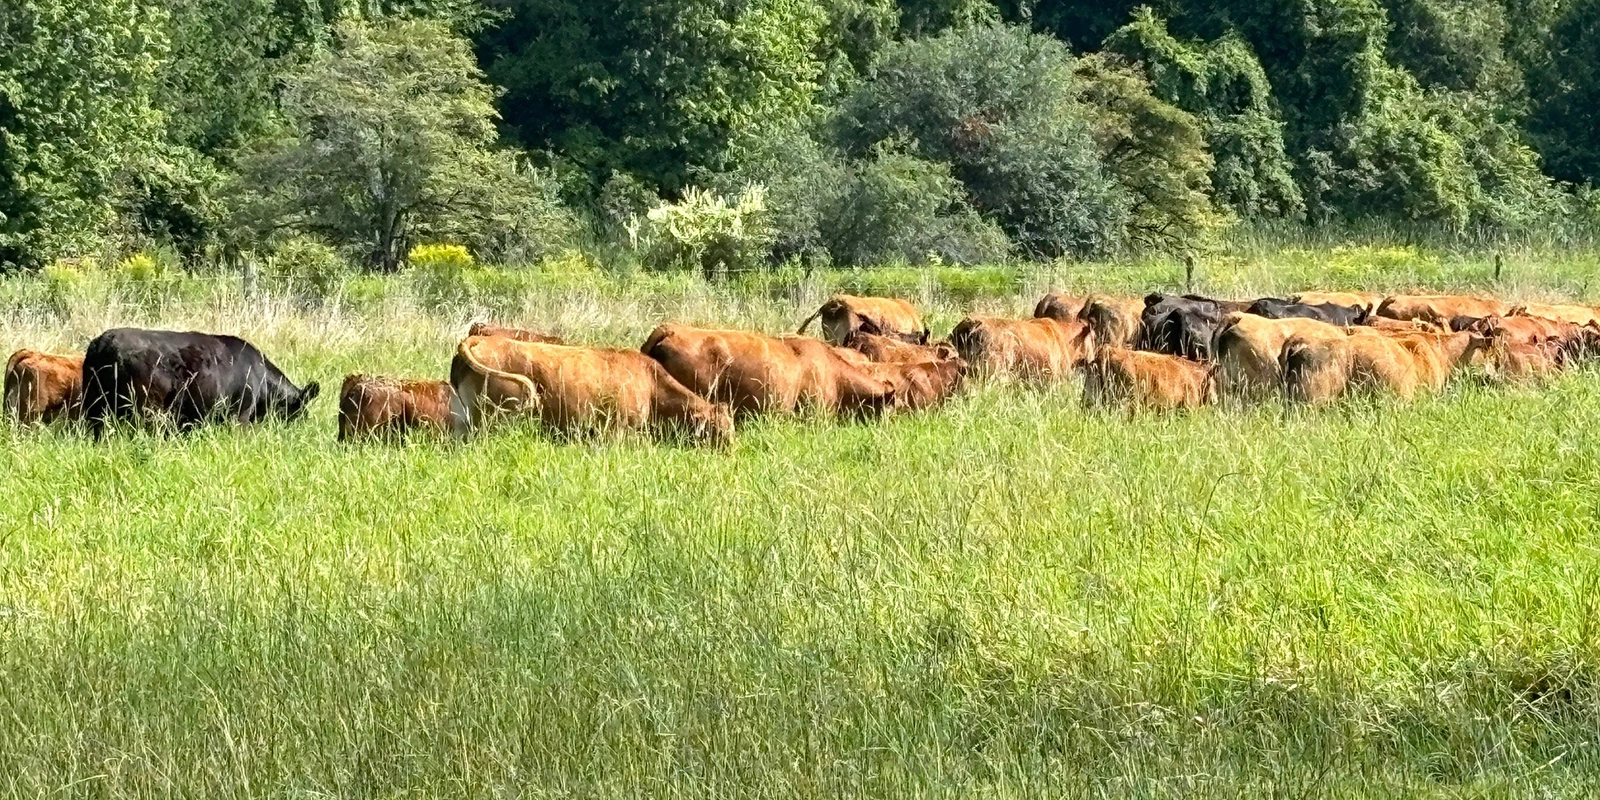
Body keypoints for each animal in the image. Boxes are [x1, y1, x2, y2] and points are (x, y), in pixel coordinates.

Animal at [452, 335, 733, 444]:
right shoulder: (619, 432)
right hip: (493, 419)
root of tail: (479, 339)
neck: (652, 386)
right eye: (719, 431)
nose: (732, 453)